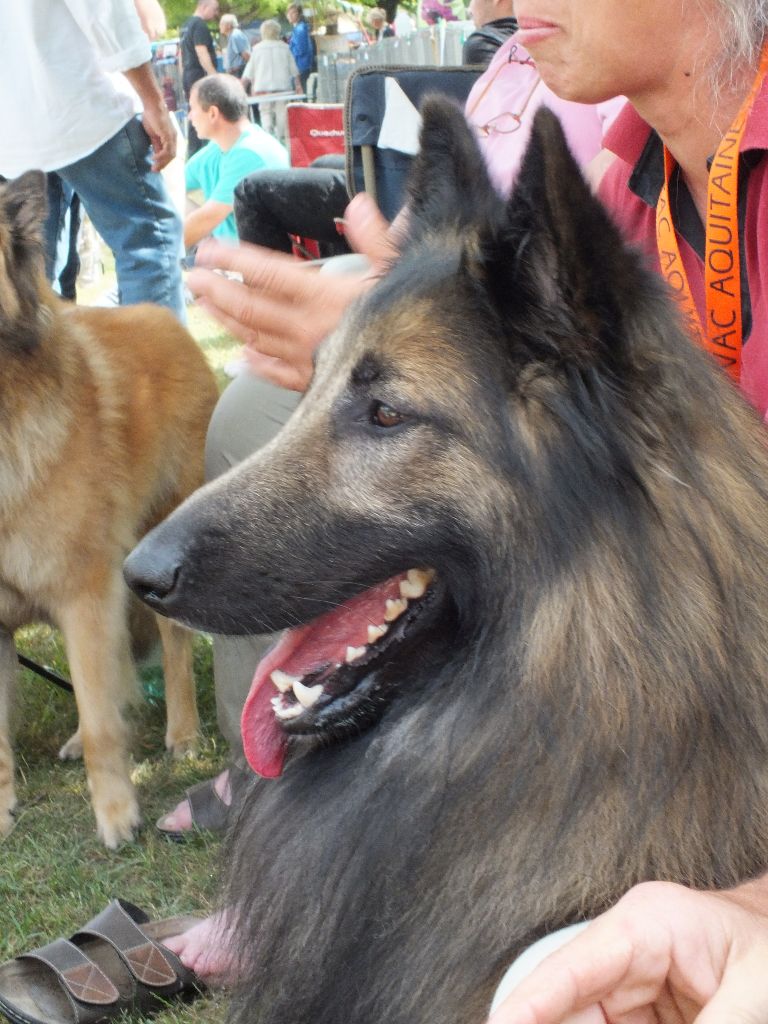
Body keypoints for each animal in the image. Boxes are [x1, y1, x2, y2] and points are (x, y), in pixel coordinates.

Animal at [0, 169, 219, 847]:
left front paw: (117, 812)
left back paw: (182, 733)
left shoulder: (84, 592)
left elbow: (103, 721)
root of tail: (166, 321)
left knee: (171, 647)